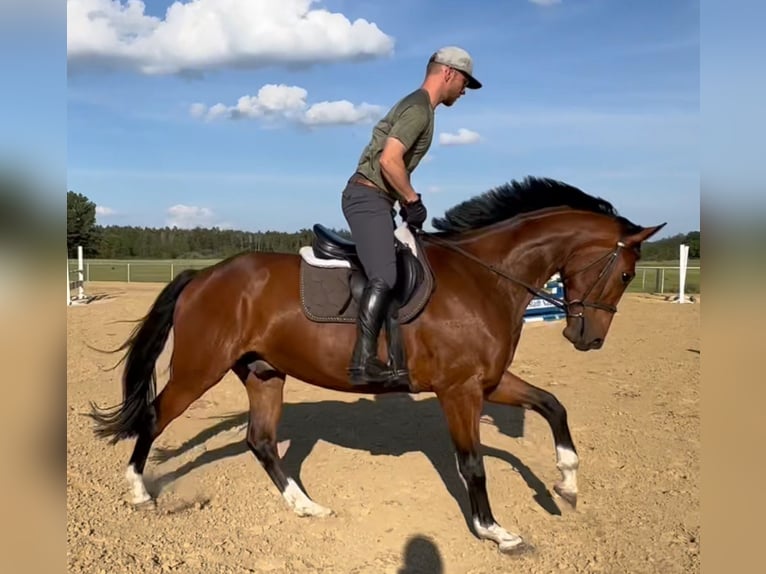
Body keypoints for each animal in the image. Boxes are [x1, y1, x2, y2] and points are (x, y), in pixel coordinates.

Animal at [88, 177, 664, 560]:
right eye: (626, 273)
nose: (587, 339)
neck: (486, 278)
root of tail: (204, 276)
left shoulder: (489, 381)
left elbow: (552, 405)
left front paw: (566, 484)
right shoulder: (460, 390)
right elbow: (473, 463)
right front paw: (494, 531)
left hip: (264, 373)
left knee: (260, 440)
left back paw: (307, 507)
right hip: (198, 369)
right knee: (155, 417)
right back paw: (139, 492)